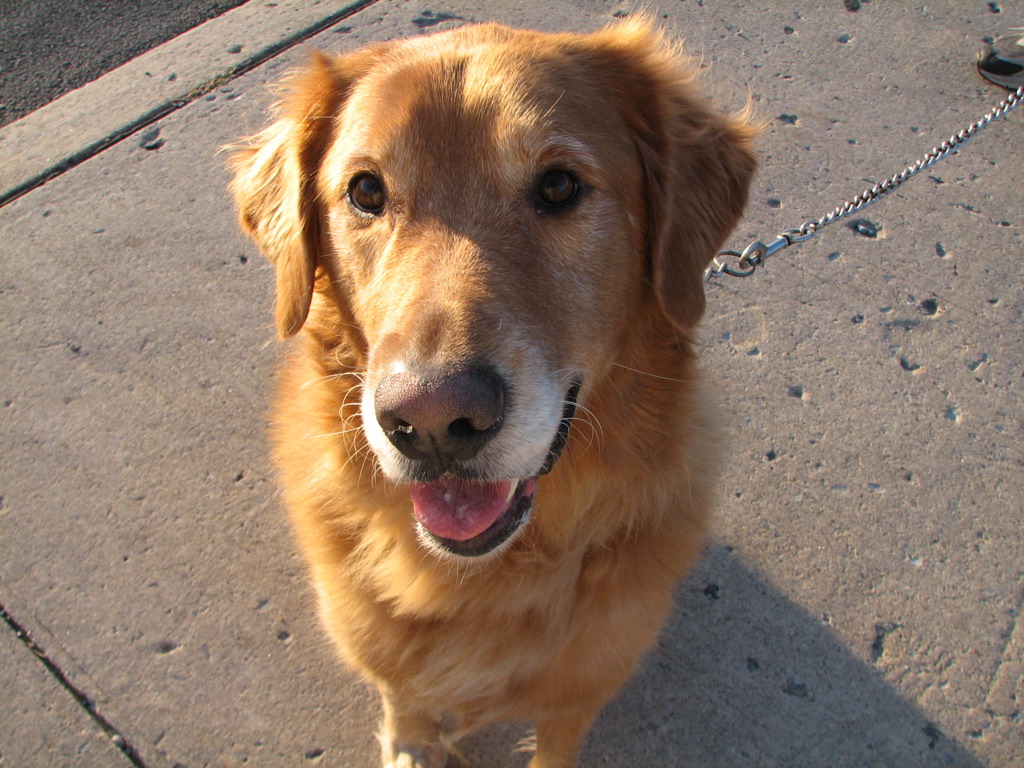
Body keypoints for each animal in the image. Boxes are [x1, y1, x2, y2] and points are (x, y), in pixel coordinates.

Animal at [235, 18, 757, 768]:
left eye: (560, 185)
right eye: (365, 192)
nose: (428, 419)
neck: (482, 578)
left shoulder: (578, 693)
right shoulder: (393, 671)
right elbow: (406, 713)